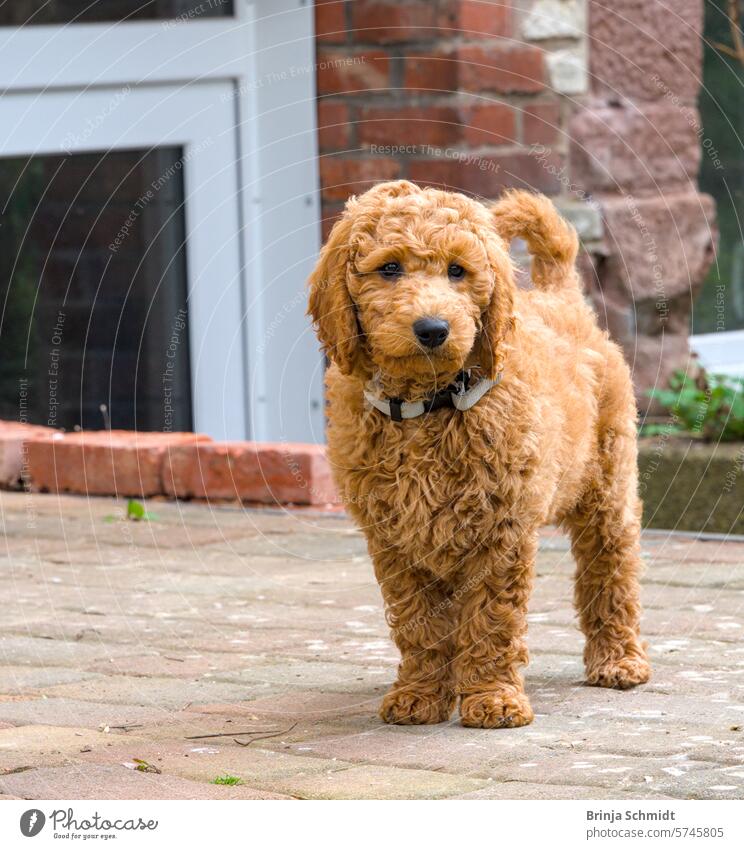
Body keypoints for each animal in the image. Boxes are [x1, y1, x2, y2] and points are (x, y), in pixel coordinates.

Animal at [308, 181, 652, 728]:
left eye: (457, 271)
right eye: (389, 268)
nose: (433, 329)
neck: (428, 405)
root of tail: (558, 296)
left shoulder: (501, 530)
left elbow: (493, 618)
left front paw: (493, 698)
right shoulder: (393, 538)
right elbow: (417, 620)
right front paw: (420, 695)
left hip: (608, 484)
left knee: (611, 569)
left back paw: (619, 660)